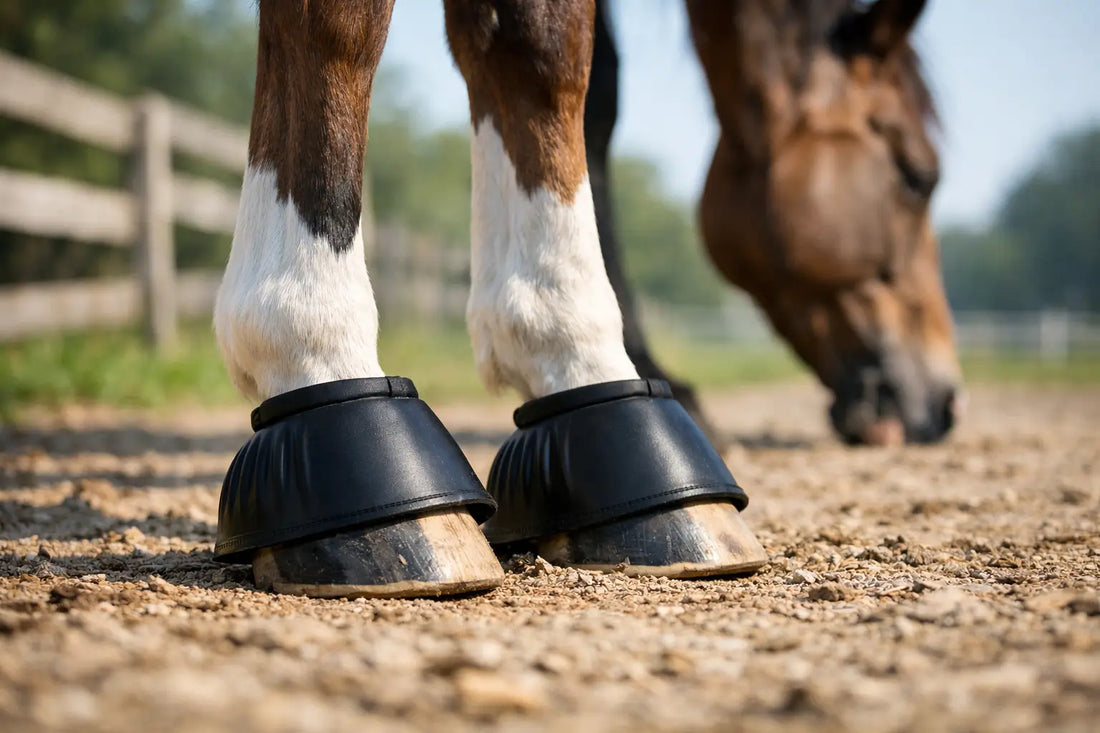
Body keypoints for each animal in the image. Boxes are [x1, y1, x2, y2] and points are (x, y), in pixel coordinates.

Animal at [211, 0, 957, 599]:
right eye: (918, 175)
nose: (941, 402)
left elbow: (548, 54)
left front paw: (582, 358)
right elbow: (342, 27)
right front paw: (310, 339)